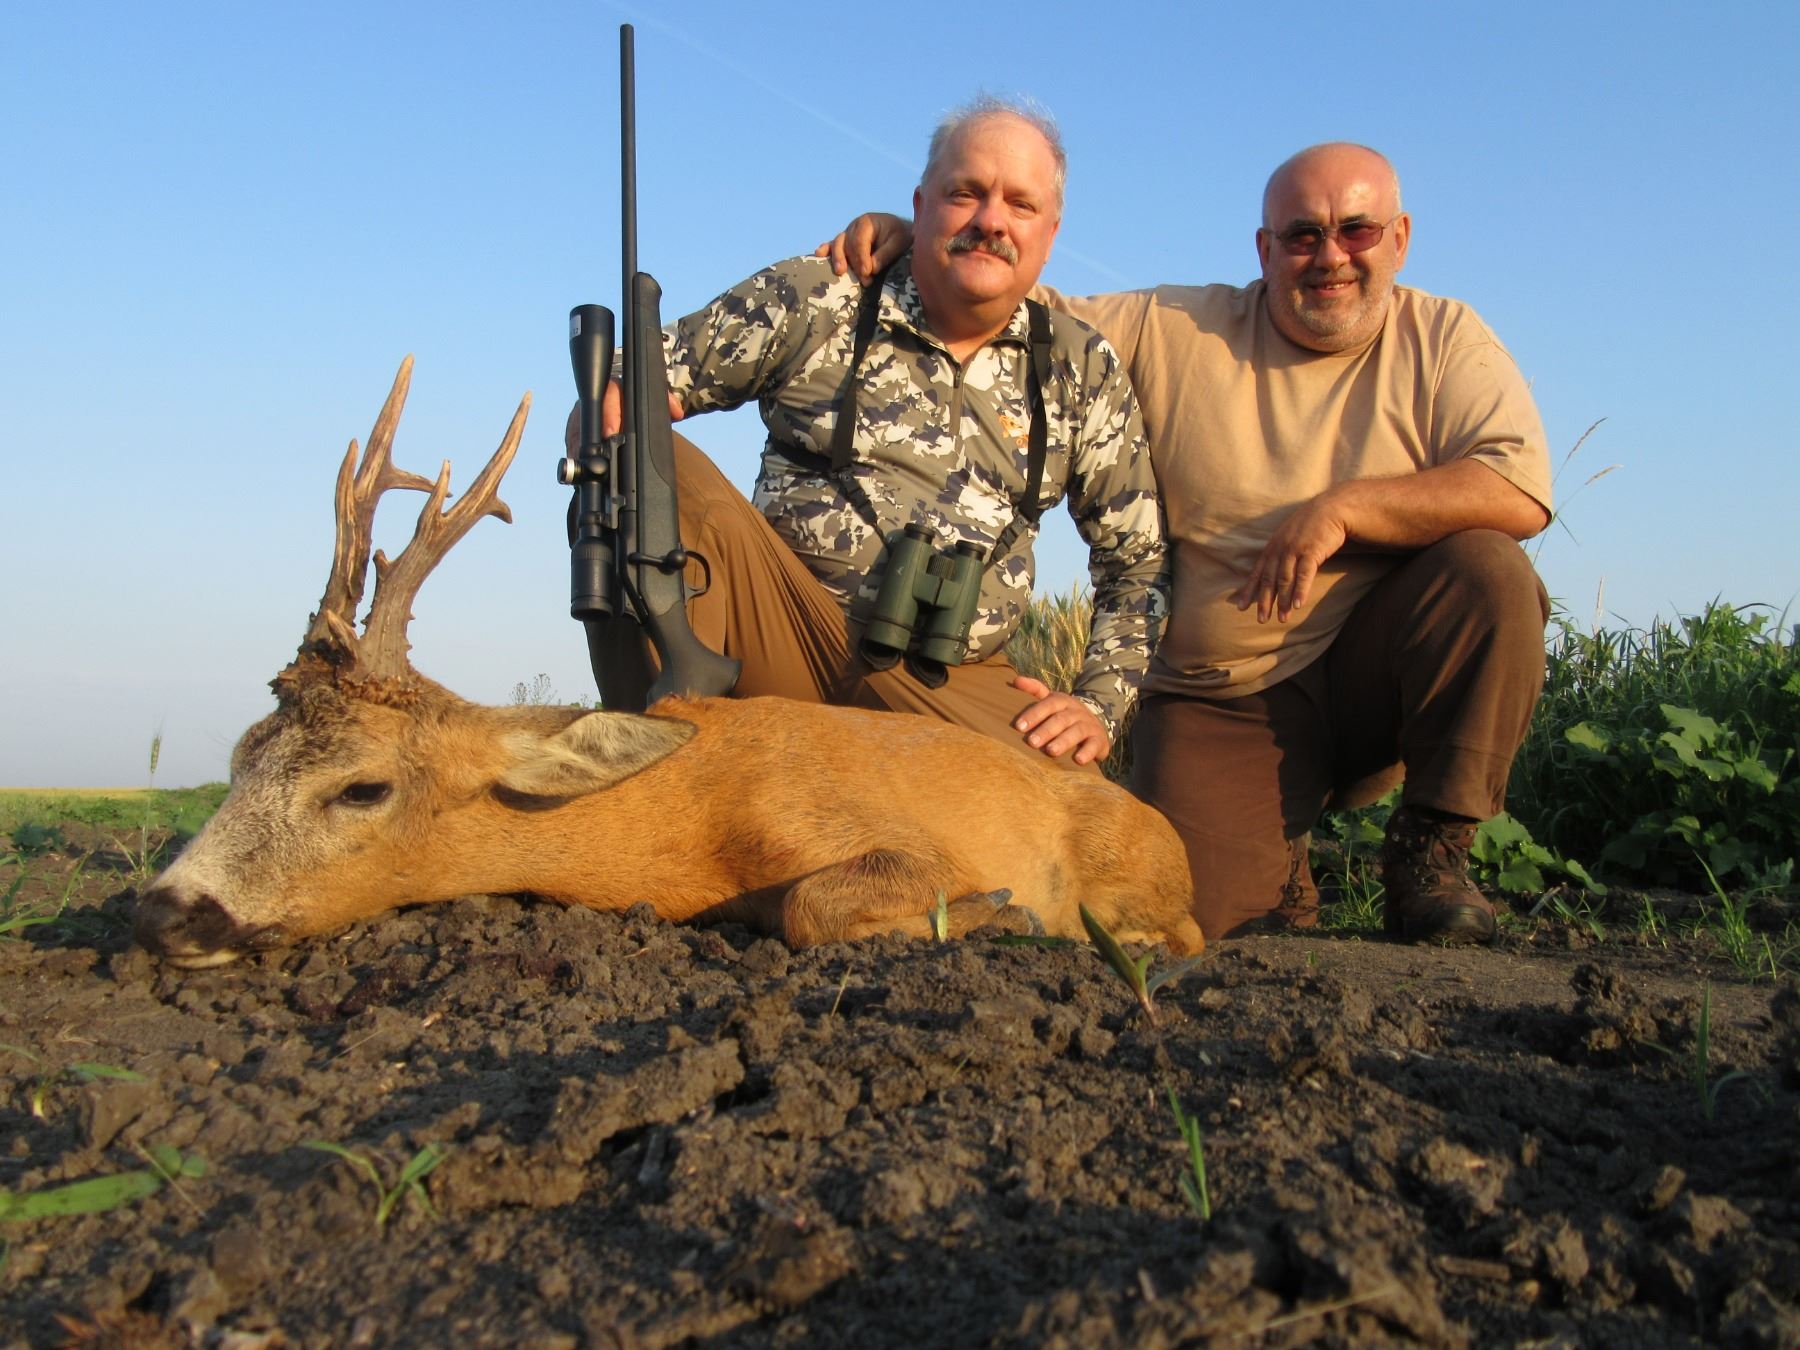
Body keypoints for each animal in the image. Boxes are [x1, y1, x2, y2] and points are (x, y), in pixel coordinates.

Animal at [133, 359, 1203, 969]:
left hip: (1138, 867)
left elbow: (809, 908)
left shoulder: (885, 836)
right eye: (240, 755)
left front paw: (998, 913)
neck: (693, 827)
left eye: (362, 787)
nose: (166, 911)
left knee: (1188, 933)